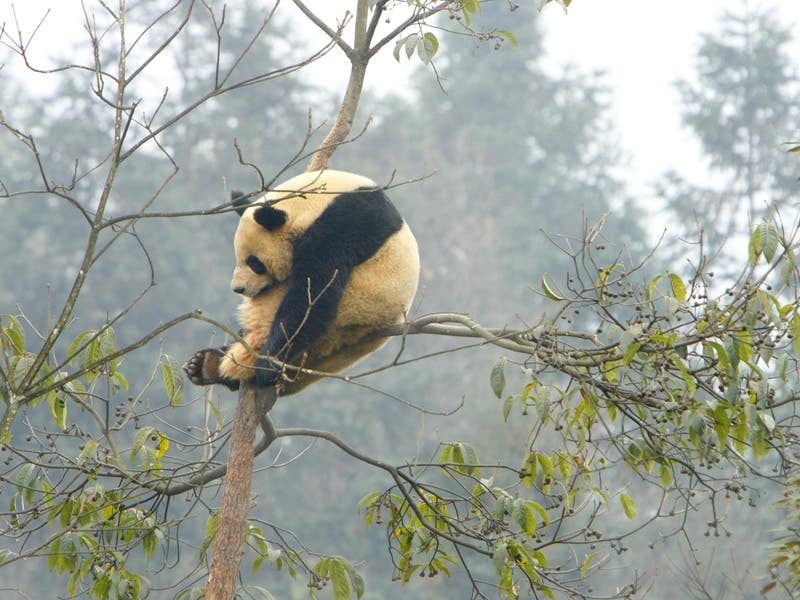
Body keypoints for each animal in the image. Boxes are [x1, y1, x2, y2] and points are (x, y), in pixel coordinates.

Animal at [185, 169, 422, 396]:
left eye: (254, 262)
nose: (238, 288)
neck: (313, 204)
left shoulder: (342, 226)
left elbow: (313, 293)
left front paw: (267, 365)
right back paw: (206, 364)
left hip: (354, 305)